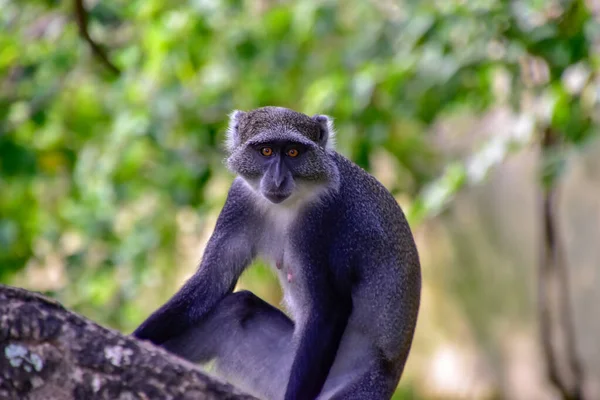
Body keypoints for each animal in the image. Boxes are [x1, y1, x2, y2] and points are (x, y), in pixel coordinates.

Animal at [133, 106, 420, 400]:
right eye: (266, 151)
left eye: (293, 152)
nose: (278, 179)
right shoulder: (239, 199)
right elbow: (212, 281)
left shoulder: (324, 221)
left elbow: (328, 308)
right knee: (239, 306)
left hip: (360, 387)